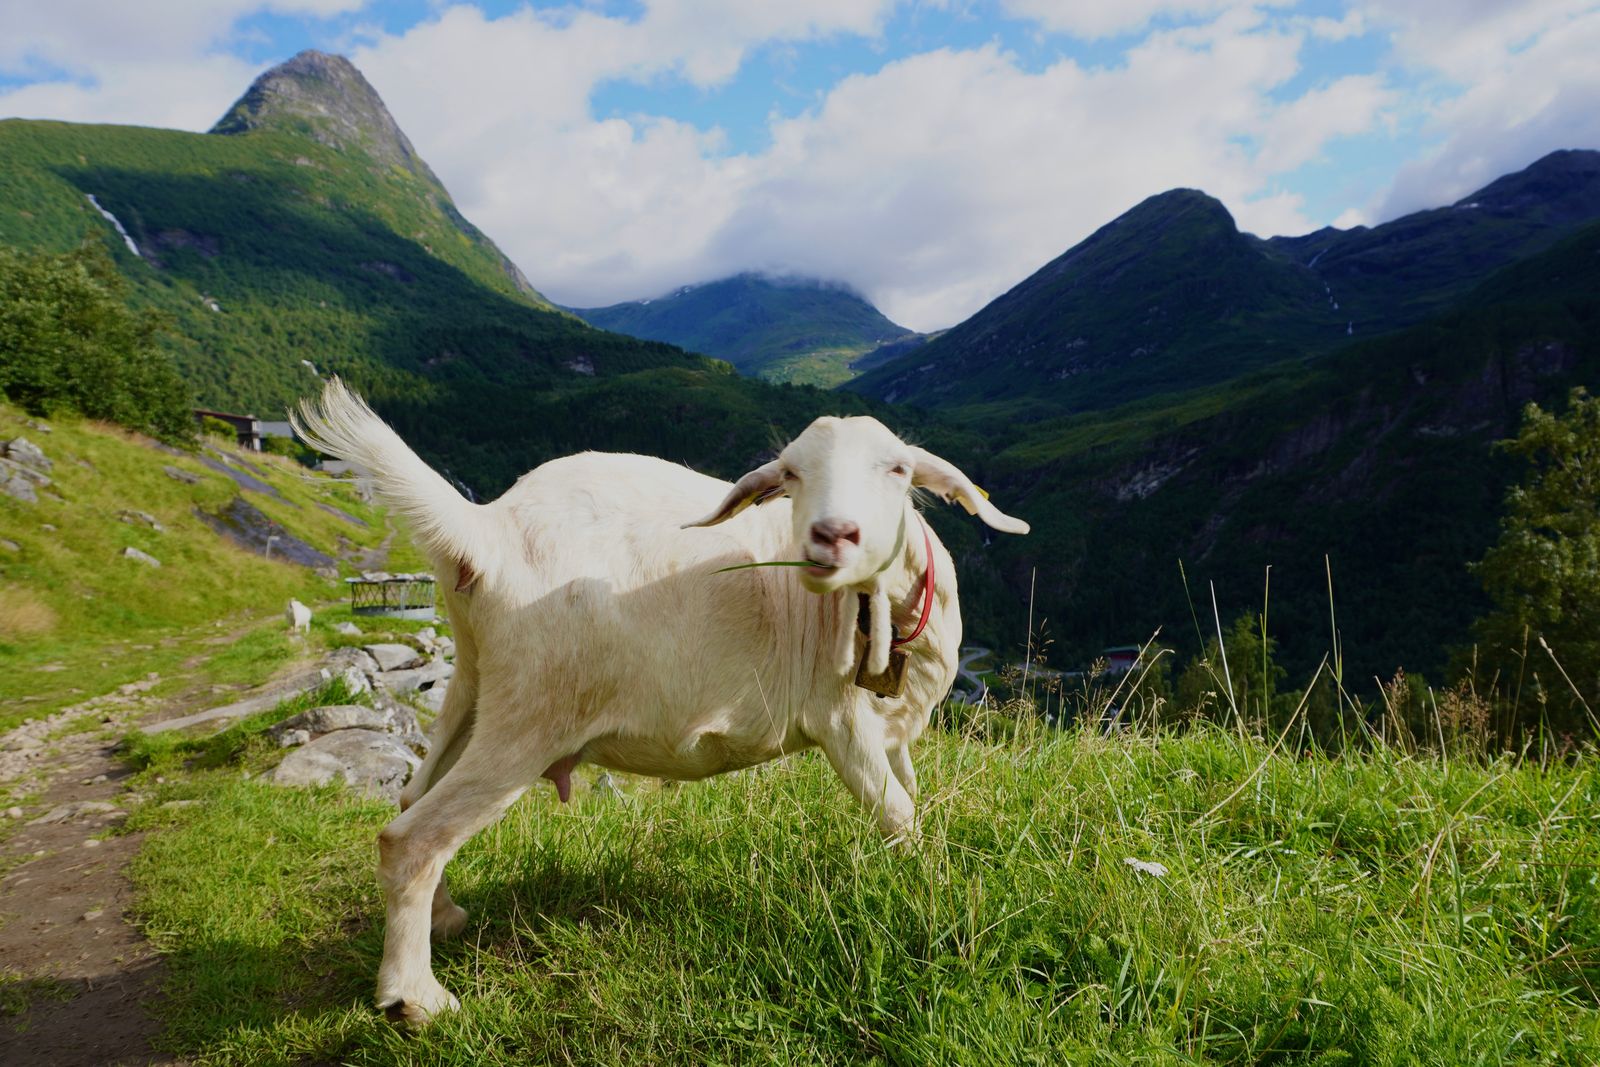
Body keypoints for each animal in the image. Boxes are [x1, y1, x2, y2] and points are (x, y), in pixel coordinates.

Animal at [290, 378, 1029, 1026]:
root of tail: (482, 532)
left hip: (475, 686)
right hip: (532, 712)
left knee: (412, 797)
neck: (883, 609)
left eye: (899, 469)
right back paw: (415, 999)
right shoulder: (840, 719)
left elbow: (909, 797)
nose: (831, 535)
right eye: (790, 474)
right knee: (412, 837)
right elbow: (899, 813)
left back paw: (444, 921)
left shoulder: (892, 728)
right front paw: (926, 887)